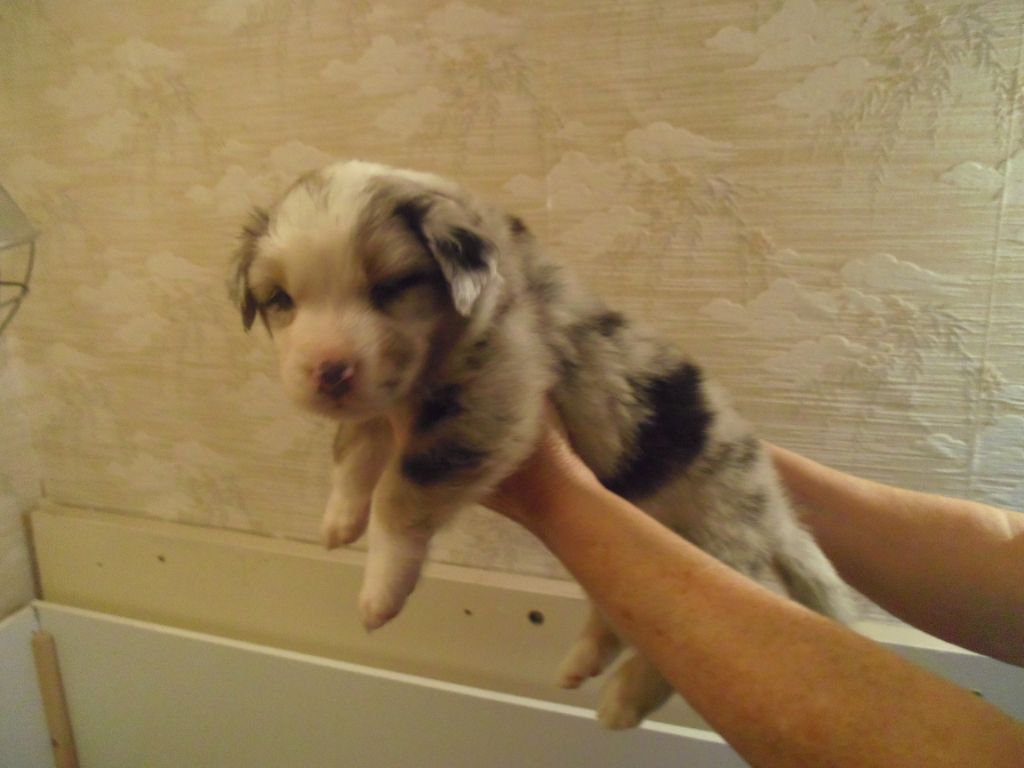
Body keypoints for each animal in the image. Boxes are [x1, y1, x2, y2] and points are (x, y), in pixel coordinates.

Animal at [231, 160, 852, 728]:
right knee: (623, 617)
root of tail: (773, 505)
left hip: (714, 547)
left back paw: (622, 703)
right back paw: (581, 663)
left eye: (389, 288)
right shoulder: (384, 404)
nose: (328, 372)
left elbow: (400, 491)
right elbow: (354, 448)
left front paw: (380, 590)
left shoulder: (494, 387)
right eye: (281, 299)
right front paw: (339, 518)